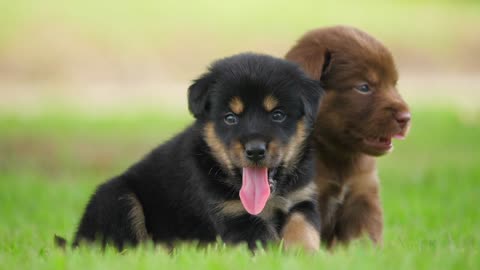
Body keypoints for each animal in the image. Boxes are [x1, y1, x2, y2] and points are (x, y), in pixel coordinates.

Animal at [73, 52, 324, 251]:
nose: (255, 150)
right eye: (230, 118)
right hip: (117, 197)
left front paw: (306, 254)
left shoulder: (302, 198)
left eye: (278, 115)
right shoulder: (231, 213)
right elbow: (266, 241)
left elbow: (303, 227)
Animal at [284, 25, 408, 249]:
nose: (406, 117)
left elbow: (365, 237)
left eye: (394, 84)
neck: (338, 156)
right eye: (364, 87)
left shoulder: (363, 194)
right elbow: (301, 229)